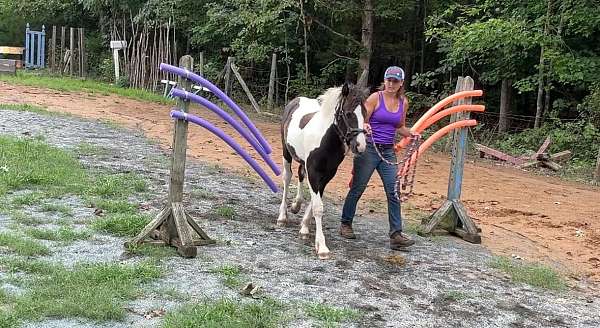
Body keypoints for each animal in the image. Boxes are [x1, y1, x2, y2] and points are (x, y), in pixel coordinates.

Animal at [278, 83, 370, 260]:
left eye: (366, 114)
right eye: (348, 113)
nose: (360, 146)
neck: (326, 139)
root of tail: (295, 100)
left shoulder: (327, 175)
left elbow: (316, 201)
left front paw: (304, 228)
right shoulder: (314, 172)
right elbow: (318, 207)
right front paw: (322, 247)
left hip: (303, 161)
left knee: (300, 175)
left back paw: (296, 205)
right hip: (287, 153)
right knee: (287, 178)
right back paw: (282, 217)